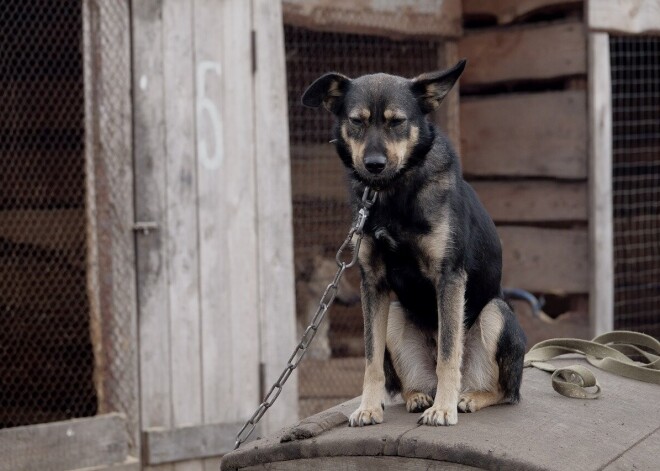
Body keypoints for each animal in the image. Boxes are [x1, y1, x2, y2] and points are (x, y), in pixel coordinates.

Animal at [302, 59, 524, 428]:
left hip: (496, 313)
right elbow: (371, 358)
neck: (392, 196)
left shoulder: (449, 277)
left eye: (397, 122)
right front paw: (368, 407)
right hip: (394, 314)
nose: (374, 165)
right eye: (357, 121)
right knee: (409, 381)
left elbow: (448, 353)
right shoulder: (372, 283)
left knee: (504, 391)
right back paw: (419, 396)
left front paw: (444, 409)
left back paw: (468, 398)